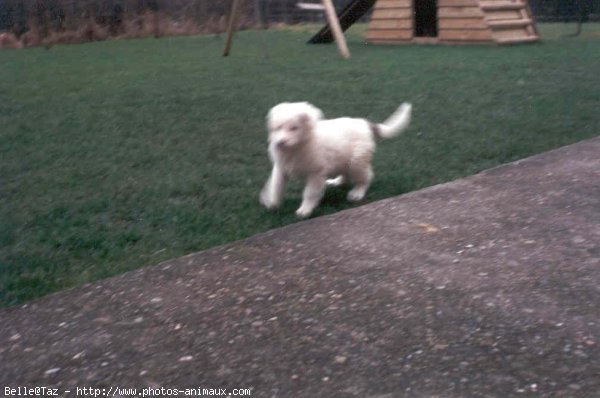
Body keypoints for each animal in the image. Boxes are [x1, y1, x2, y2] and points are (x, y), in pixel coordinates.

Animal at [260, 101, 410, 216]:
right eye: (277, 128)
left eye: (294, 128)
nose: (280, 142)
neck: (296, 147)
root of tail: (365, 124)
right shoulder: (280, 168)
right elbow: (276, 186)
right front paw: (272, 202)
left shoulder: (315, 173)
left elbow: (310, 193)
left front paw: (305, 209)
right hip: (345, 160)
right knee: (346, 174)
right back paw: (336, 182)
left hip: (357, 160)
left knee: (366, 177)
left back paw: (357, 193)